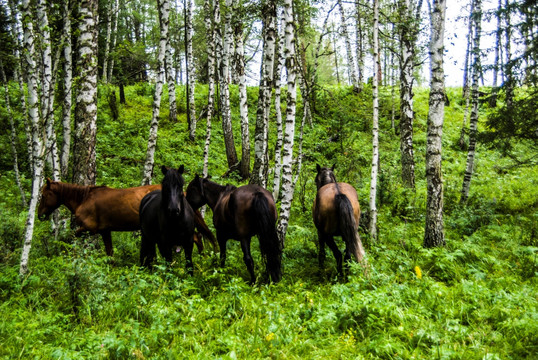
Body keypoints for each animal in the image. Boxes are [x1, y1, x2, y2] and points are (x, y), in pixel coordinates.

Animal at [38, 178, 216, 256]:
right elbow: (109, 253)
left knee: (195, 237)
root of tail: (182, 194)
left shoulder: (89, 228)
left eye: (44, 195)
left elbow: (70, 237)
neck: (84, 199)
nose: (40, 215)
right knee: (197, 237)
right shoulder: (105, 231)